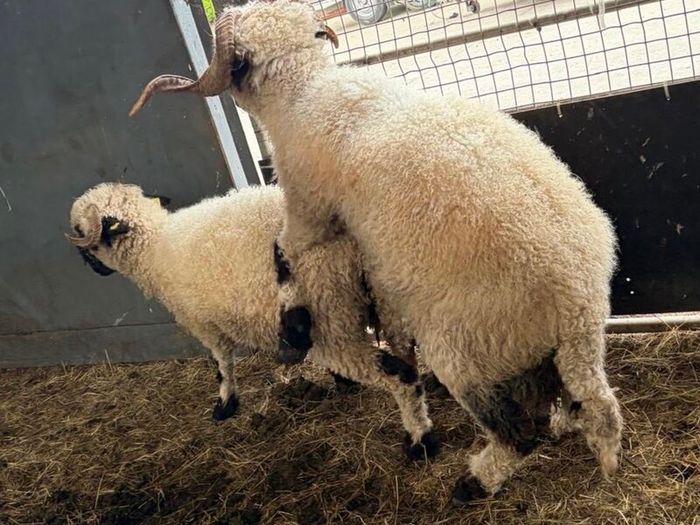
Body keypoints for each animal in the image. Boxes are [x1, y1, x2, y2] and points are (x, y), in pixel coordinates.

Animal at [65, 182, 438, 459]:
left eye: (81, 232)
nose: (90, 267)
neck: (154, 247)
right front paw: (343, 383)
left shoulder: (204, 325)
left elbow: (221, 364)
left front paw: (225, 405)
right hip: (386, 301)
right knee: (410, 357)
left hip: (331, 316)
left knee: (399, 375)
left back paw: (421, 442)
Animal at [128, 0, 622, 503]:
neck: (306, 89)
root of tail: (577, 303)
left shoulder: (310, 206)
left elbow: (283, 251)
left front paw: (293, 329)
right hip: (542, 349)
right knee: (590, 403)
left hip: (464, 347)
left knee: (518, 432)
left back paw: (474, 481)